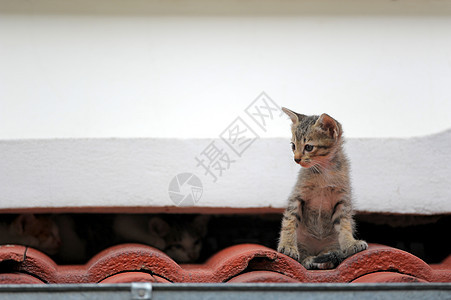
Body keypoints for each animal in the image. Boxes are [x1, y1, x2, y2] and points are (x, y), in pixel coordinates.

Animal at [278, 108, 370, 270]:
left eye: (308, 147)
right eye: (293, 146)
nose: (296, 159)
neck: (323, 172)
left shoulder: (342, 200)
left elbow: (345, 225)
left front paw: (350, 243)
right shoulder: (297, 197)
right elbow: (289, 221)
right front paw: (288, 245)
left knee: (330, 255)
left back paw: (323, 260)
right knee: (304, 257)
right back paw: (308, 260)